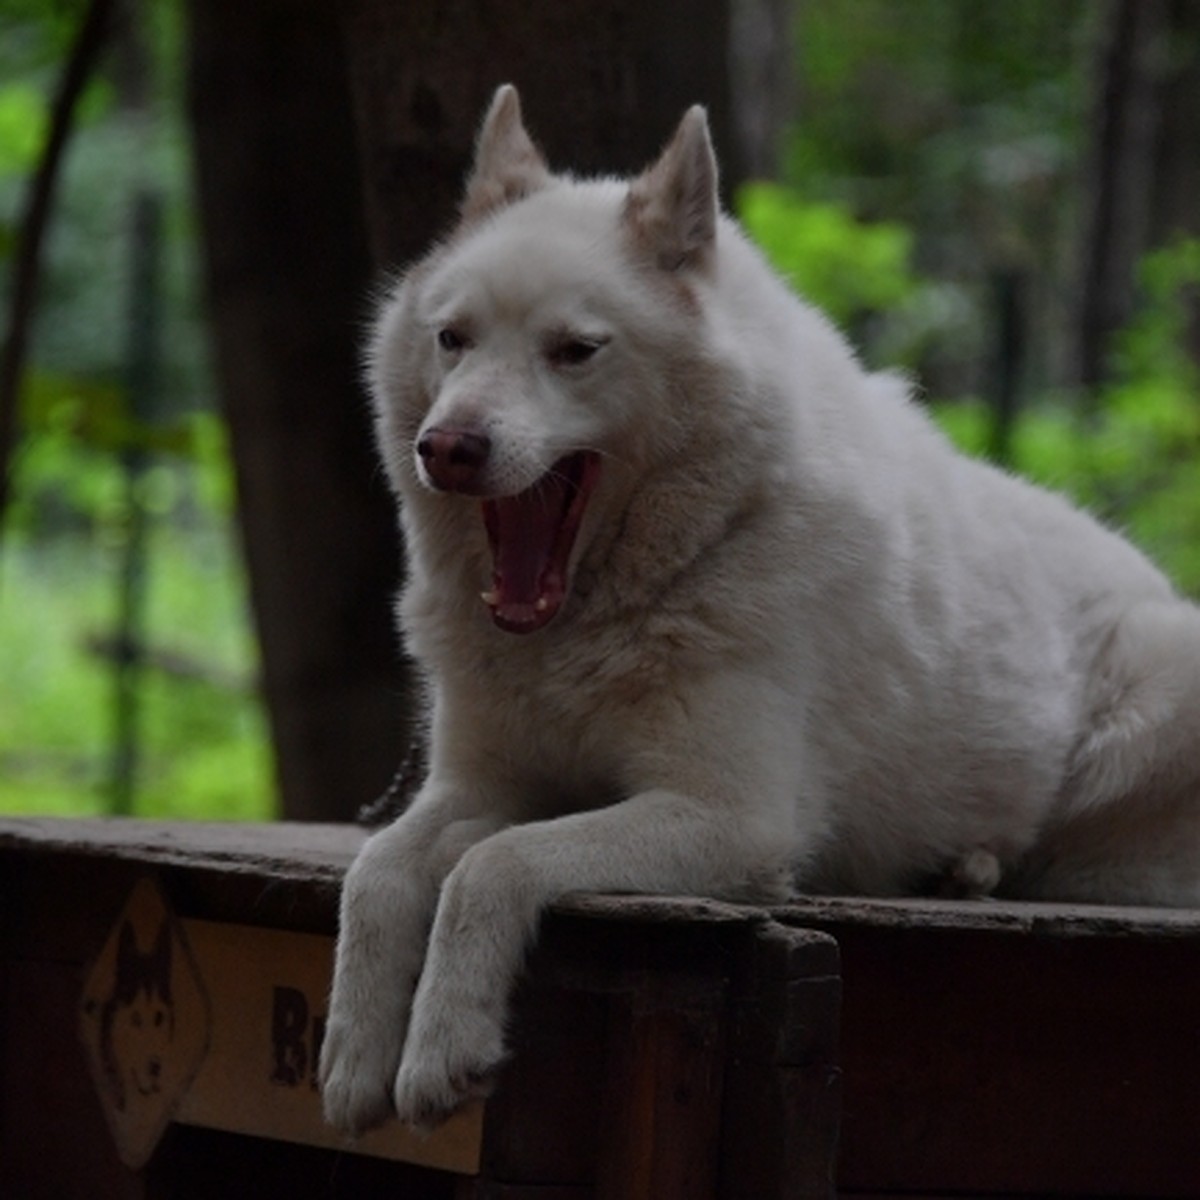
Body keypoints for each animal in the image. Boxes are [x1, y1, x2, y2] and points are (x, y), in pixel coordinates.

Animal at [316, 84, 1200, 1132]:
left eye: (575, 352)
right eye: (452, 339)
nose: (446, 448)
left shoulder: (733, 820)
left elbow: (494, 867)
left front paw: (443, 1044)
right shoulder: (477, 786)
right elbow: (380, 872)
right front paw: (354, 1056)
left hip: (1148, 714)